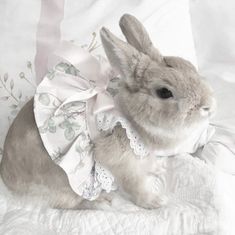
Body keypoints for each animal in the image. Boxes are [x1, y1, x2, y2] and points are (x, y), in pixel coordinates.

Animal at [0, 14, 215, 209]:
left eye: (189, 66)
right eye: (164, 92)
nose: (209, 105)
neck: (131, 117)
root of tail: (7, 180)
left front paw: (158, 168)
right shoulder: (122, 162)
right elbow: (136, 186)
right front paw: (155, 202)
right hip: (64, 183)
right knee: (65, 204)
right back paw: (101, 202)